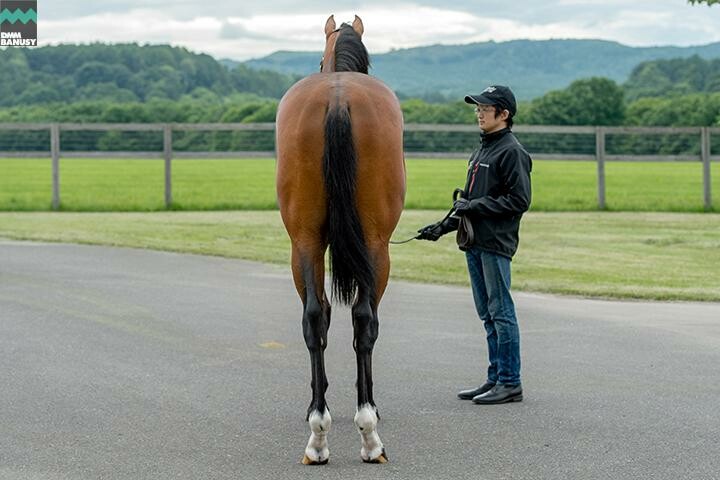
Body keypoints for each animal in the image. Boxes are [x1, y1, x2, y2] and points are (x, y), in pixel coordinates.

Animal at [274, 15, 404, 464]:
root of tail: (337, 97)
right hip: (376, 248)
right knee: (363, 319)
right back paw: (368, 433)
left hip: (305, 241)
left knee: (316, 316)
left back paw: (319, 435)